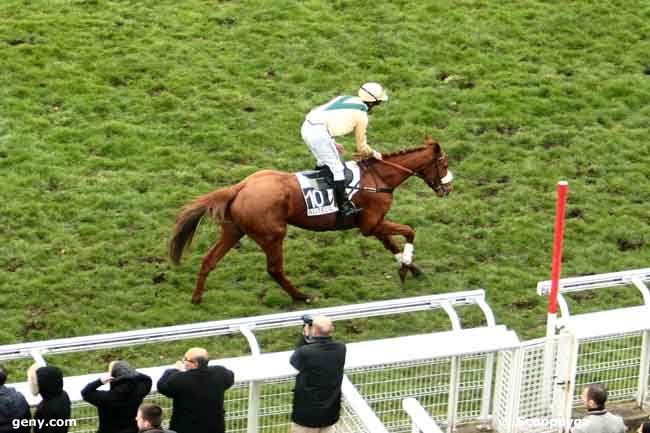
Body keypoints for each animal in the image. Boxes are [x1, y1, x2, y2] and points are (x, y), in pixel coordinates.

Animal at [168, 137, 450, 302]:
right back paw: (301, 296)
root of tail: (240, 187)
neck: (378, 177)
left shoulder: (373, 223)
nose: (448, 189)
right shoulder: (370, 225)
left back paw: (196, 298)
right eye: (444, 164)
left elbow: (393, 244)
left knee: (209, 260)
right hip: (272, 235)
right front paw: (406, 267)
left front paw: (411, 268)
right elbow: (409, 231)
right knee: (274, 269)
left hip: (234, 230)